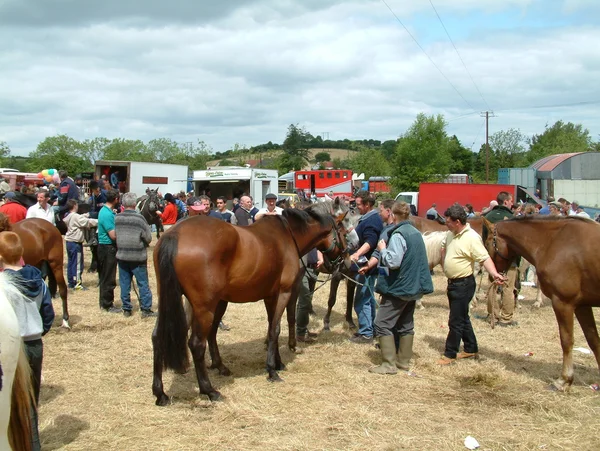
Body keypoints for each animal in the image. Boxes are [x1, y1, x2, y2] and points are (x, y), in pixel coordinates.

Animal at [152, 200, 354, 404]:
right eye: (344, 233)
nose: (347, 262)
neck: (288, 236)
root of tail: (175, 235)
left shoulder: (270, 296)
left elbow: (272, 326)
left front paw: (278, 362)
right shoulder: (284, 293)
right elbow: (275, 329)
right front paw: (272, 370)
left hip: (179, 302)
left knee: (158, 336)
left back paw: (161, 392)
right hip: (205, 307)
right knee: (196, 344)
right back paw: (209, 390)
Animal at [480, 216, 600, 392]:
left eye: (488, 243)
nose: (491, 276)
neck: (552, 241)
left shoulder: (563, 302)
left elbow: (566, 340)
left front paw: (563, 380)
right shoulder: (582, 305)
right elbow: (593, 340)